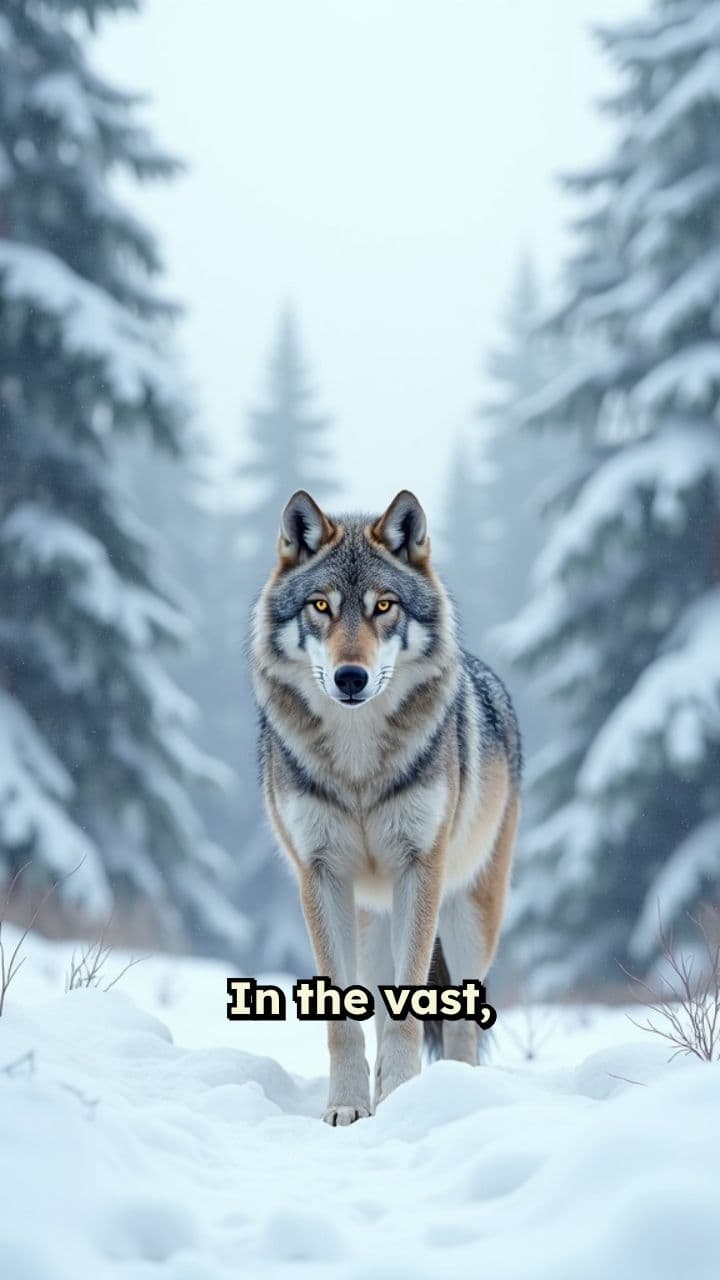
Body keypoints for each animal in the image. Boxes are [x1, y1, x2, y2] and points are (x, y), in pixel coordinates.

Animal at [250, 489, 521, 1125]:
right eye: (321, 606)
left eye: (384, 607)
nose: (351, 677)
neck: (358, 768)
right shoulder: (319, 875)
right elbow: (344, 1021)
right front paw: (348, 1106)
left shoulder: (419, 870)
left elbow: (409, 1013)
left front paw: (401, 1099)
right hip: (371, 922)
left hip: (468, 917)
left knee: (461, 1022)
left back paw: (453, 1091)